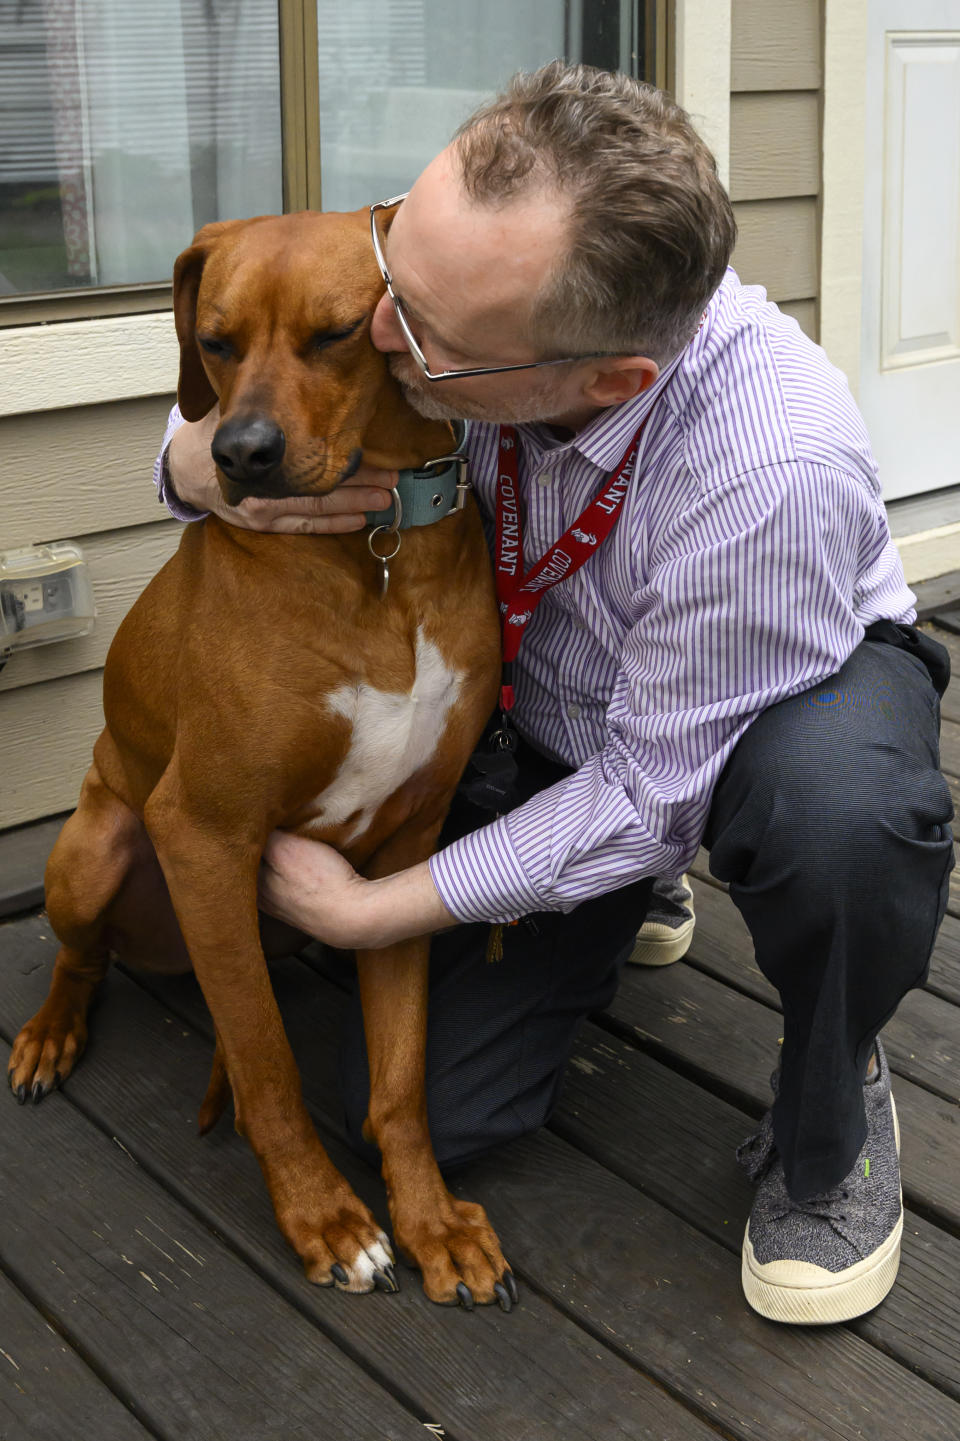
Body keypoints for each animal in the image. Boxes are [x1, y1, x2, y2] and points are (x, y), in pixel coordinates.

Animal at [9, 208, 516, 1314]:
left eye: (335, 334)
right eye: (214, 342)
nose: (237, 453)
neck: (378, 551)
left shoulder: (407, 848)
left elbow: (400, 1077)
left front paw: (431, 1221)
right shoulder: (204, 837)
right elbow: (272, 1066)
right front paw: (327, 1219)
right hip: (95, 847)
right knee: (84, 956)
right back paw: (52, 1032)